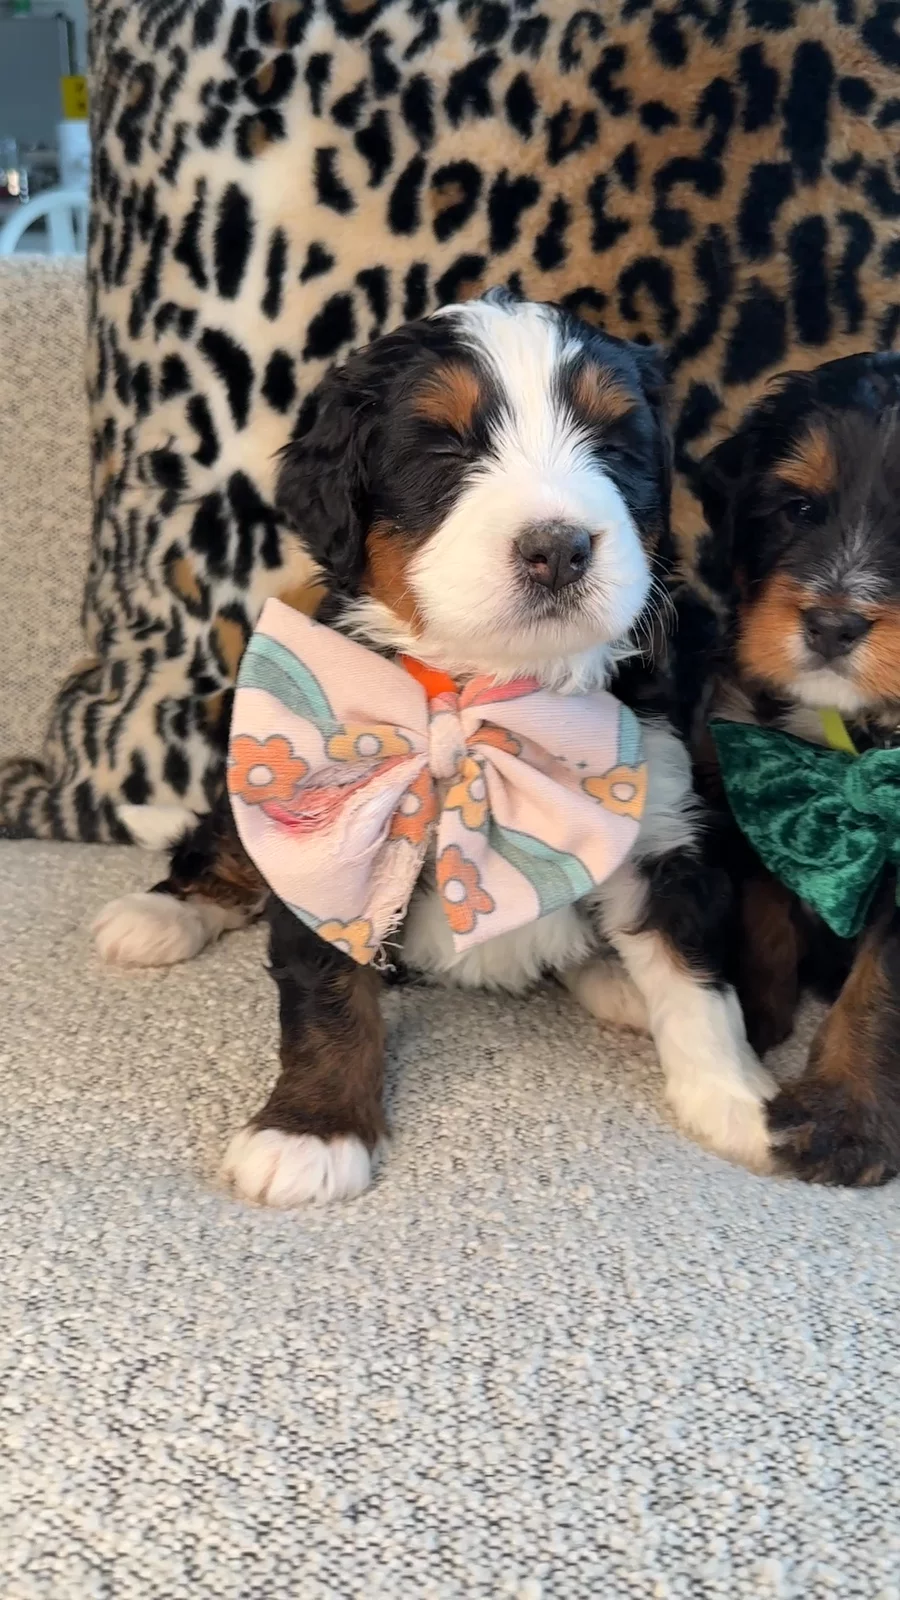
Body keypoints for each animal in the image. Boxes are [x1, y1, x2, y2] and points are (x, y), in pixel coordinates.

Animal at [93, 292, 773, 1206]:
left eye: (614, 445)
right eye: (446, 449)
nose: (558, 547)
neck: (481, 693)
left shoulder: (658, 815)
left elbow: (697, 980)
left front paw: (742, 1102)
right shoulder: (339, 837)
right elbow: (327, 995)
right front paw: (310, 1131)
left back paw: (612, 979)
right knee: (218, 848)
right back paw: (160, 914)